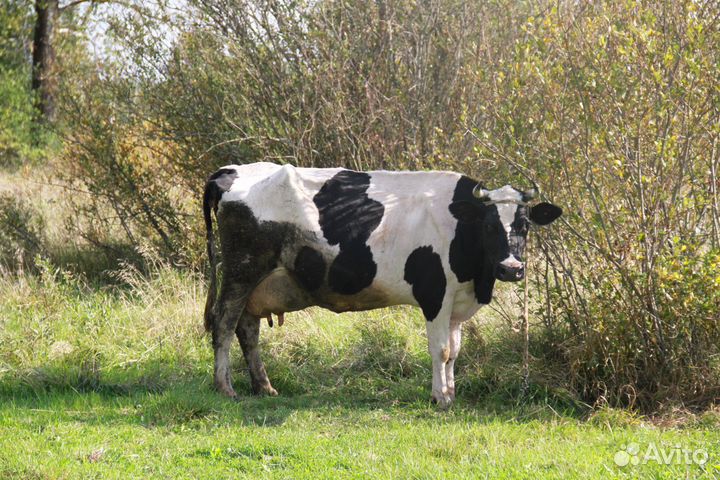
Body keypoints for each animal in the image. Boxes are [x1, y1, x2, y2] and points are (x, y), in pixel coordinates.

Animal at [203, 162, 562, 407]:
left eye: (525, 224)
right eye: (489, 225)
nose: (511, 268)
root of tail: (231, 169)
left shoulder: (457, 302)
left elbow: (455, 351)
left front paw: (450, 391)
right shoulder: (435, 295)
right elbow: (441, 349)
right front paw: (440, 398)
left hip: (257, 285)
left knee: (247, 329)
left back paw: (263, 387)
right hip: (242, 271)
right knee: (224, 323)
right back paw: (225, 387)